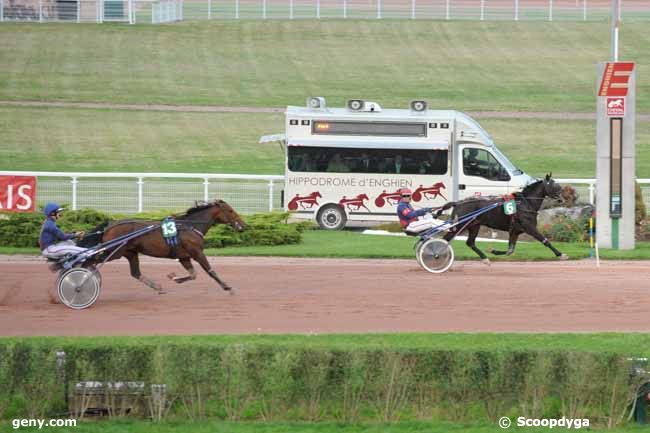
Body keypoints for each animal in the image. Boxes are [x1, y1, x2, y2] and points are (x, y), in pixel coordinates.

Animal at [79, 199, 246, 294]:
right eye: (230, 210)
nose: (243, 225)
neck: (190, 226)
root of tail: (110, 224)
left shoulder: (184, 256)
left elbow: (193, 275)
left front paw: (174, 277)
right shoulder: (197, 252)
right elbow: (210, 271)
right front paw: (227, 287)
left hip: (130, 252)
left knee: (135, 273)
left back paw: (157, 287)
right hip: (114, 251)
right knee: (90, 260)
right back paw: (81, 282)